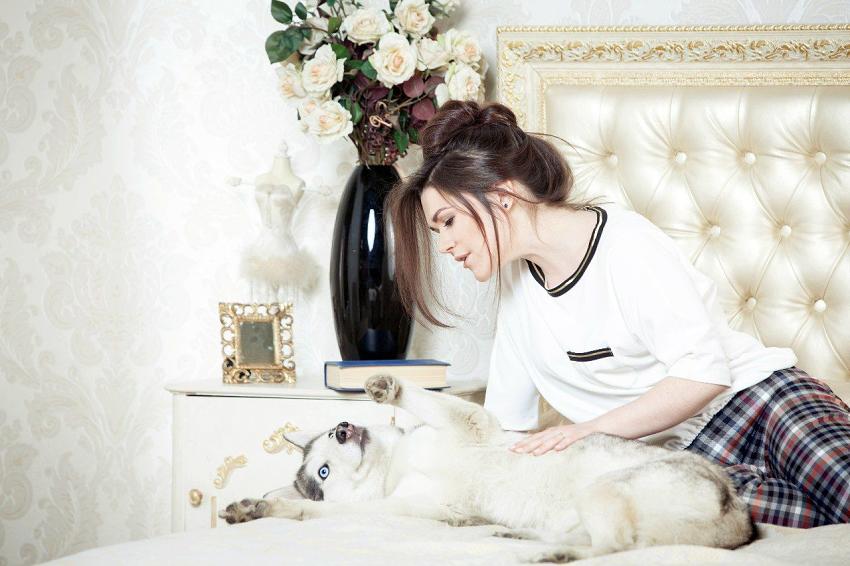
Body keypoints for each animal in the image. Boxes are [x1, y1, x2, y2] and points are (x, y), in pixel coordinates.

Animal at [220, 374, 753, 562]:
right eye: (323, 474)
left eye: (332, 433)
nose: (346, 428)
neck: (396, 469)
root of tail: (739, 515)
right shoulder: (399, 509)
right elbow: (311, 514)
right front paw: (257, 508)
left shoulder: (468, 421)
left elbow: (421, 395)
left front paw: (387, 386)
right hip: (593, 501)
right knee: (612, 546)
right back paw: (537, 544)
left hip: (602, 491)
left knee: (618, 546)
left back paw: (548, 550)